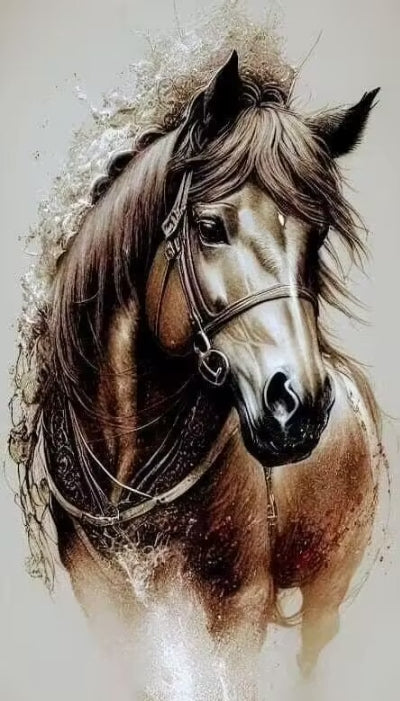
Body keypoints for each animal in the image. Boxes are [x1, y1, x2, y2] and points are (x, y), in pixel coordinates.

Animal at [14, 50, 383, 698]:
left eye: (316, 238)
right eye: (210, 229)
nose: (302, 405)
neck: (126, 475)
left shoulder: (237, 612)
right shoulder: (111, 610)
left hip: (327, 593)